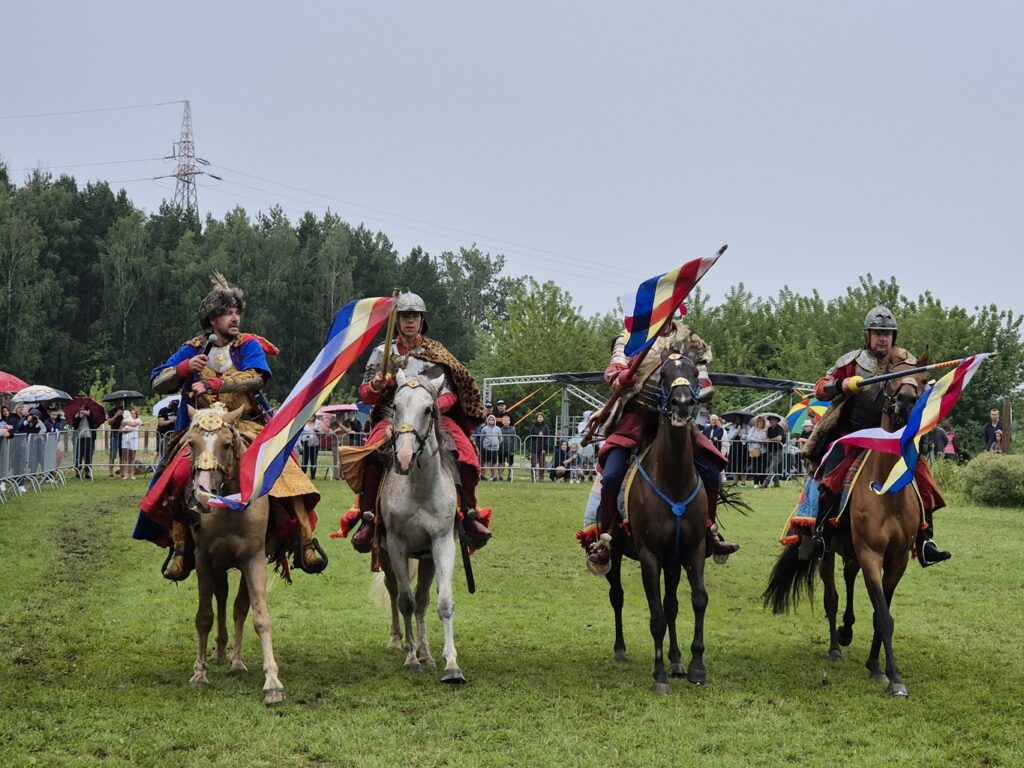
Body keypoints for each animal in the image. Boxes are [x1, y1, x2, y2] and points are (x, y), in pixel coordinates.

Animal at [182, 405, 286, 708]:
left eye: (227, 444)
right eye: (191, 444)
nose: (203, 498)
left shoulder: (254, 559)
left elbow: (259, 617)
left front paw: (272, 683)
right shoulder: (204, 561)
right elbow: (204, 616)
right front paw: (200, 674)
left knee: (238, 606)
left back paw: (236, 662)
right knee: (221, 598)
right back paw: (218, 652)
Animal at [376, 368, 464, 684]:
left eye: (428, 410)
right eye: (395, 406)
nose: (403, 457)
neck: (420, 490)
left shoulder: (442, 543)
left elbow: (443, 603)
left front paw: (452, 665)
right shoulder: (396, 545)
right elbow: (405, 601)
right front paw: (411, 658)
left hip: (426, 558)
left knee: (424, 600)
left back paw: (426, 653)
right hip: (384, 555)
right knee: (394, 591)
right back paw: (399, 643)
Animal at [602, 354, 708, 696]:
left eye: (694, 373)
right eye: (663, 375)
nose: (683, 403)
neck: (673, 480)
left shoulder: (693, 550)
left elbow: (696, 600)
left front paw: (695, 666)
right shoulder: (649, 556)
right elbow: (656, 616)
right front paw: (659, 675)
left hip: (672, 562)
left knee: (672, 602)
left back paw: (676, 660)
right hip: (616, 554)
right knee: (618, 595)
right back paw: (621, 649)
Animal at [761, 354, 929, 696]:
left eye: (919, 381)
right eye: (891, 377)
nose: (906, 401)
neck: (886, 489)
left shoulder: (897, 560)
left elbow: (882, 613)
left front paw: (877, 667)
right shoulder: (871, 554)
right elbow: (882, 615)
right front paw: (895, 679)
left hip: (852, 551)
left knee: (850, 579)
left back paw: (848, 629)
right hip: (828, 552)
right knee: (833, 596)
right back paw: (836, 646)